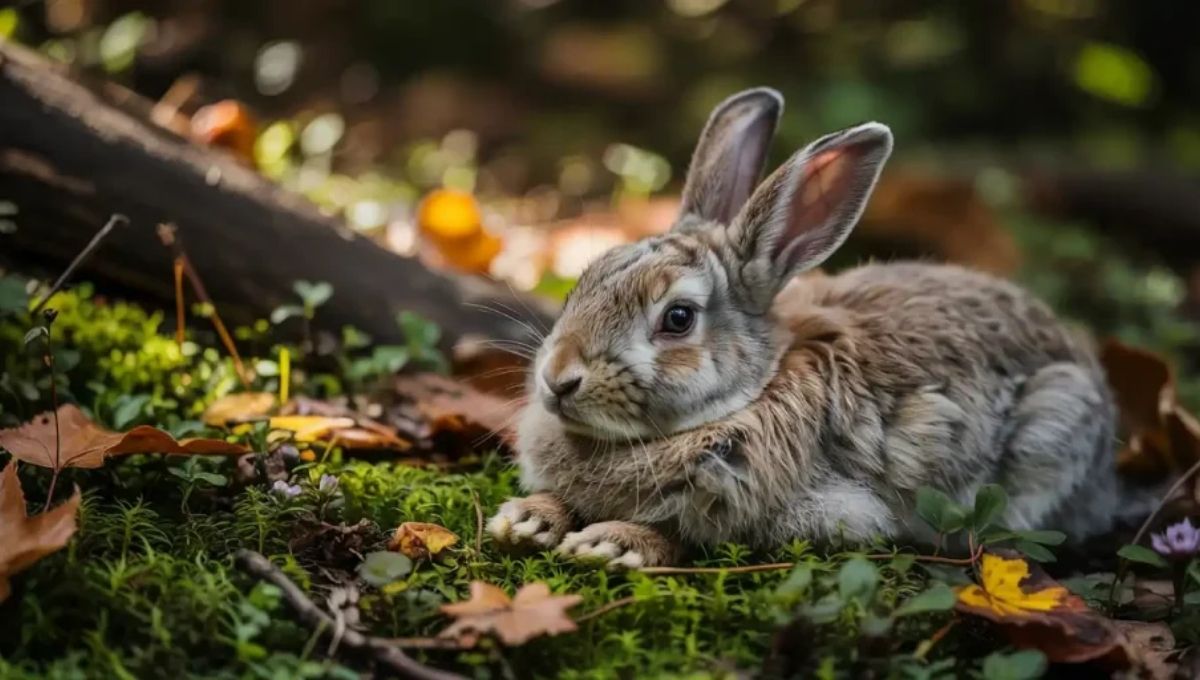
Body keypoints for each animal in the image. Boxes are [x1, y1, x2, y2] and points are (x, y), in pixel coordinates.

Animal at [486, 87, 1120, 568]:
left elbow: (689, 536)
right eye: (583, 282)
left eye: (678, 319)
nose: (558, 380)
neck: (752, 393)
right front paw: (527, 520)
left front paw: (613, 543)